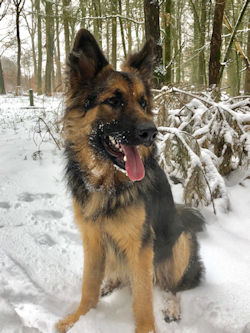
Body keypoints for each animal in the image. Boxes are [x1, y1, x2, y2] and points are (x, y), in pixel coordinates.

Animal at [55, 29, 204, 332]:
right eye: (114, 101)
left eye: (143, 103)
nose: (152, 132)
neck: (107, 184)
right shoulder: (92, 237)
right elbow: (88, 285)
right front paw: (78, 319)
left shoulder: (141, 244)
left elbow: (143, 296)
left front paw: (146, 327)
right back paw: (110, 283)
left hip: (181, 241)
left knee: (171, 286)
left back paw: (170, 305)